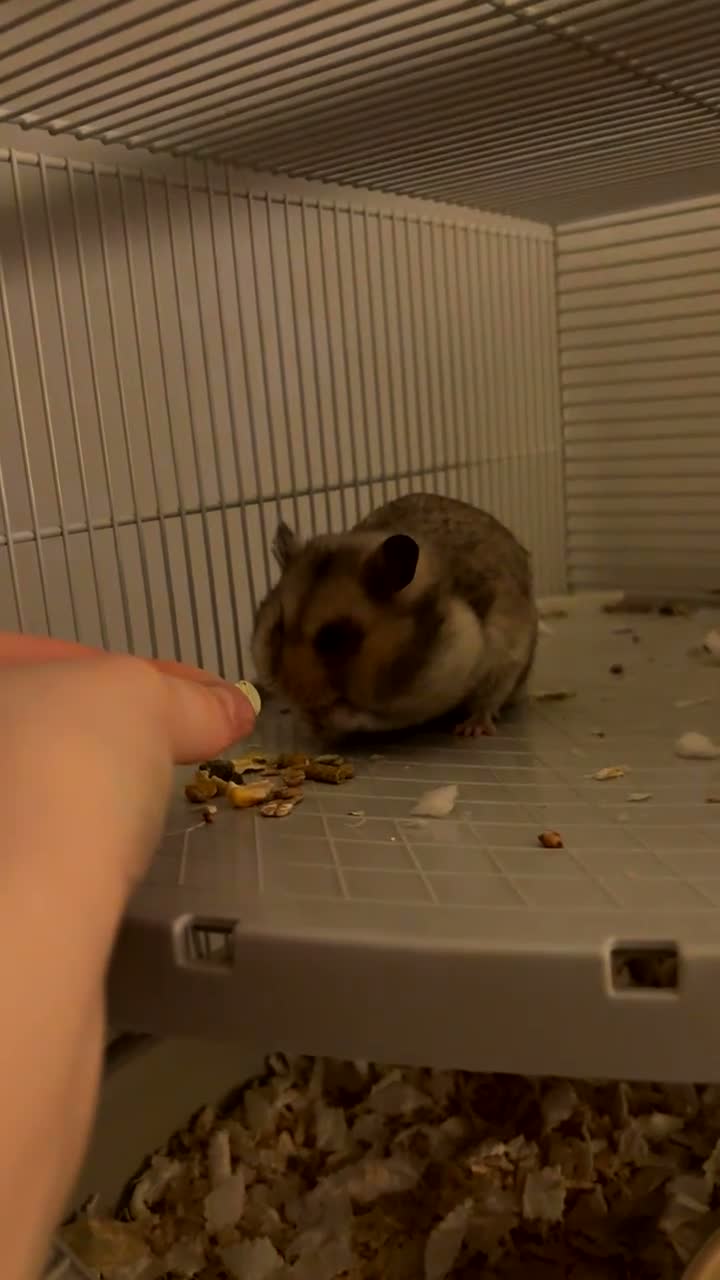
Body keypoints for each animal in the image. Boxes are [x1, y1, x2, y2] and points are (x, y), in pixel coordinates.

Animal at [251, 492, 538, 740]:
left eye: (334, 638)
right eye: (277, 630)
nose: (294, 695)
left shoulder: (431, 690)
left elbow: (365, 716)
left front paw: (327, 717)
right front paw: (307, 720)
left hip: (509, 661)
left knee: (489, 700)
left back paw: (472, 728)